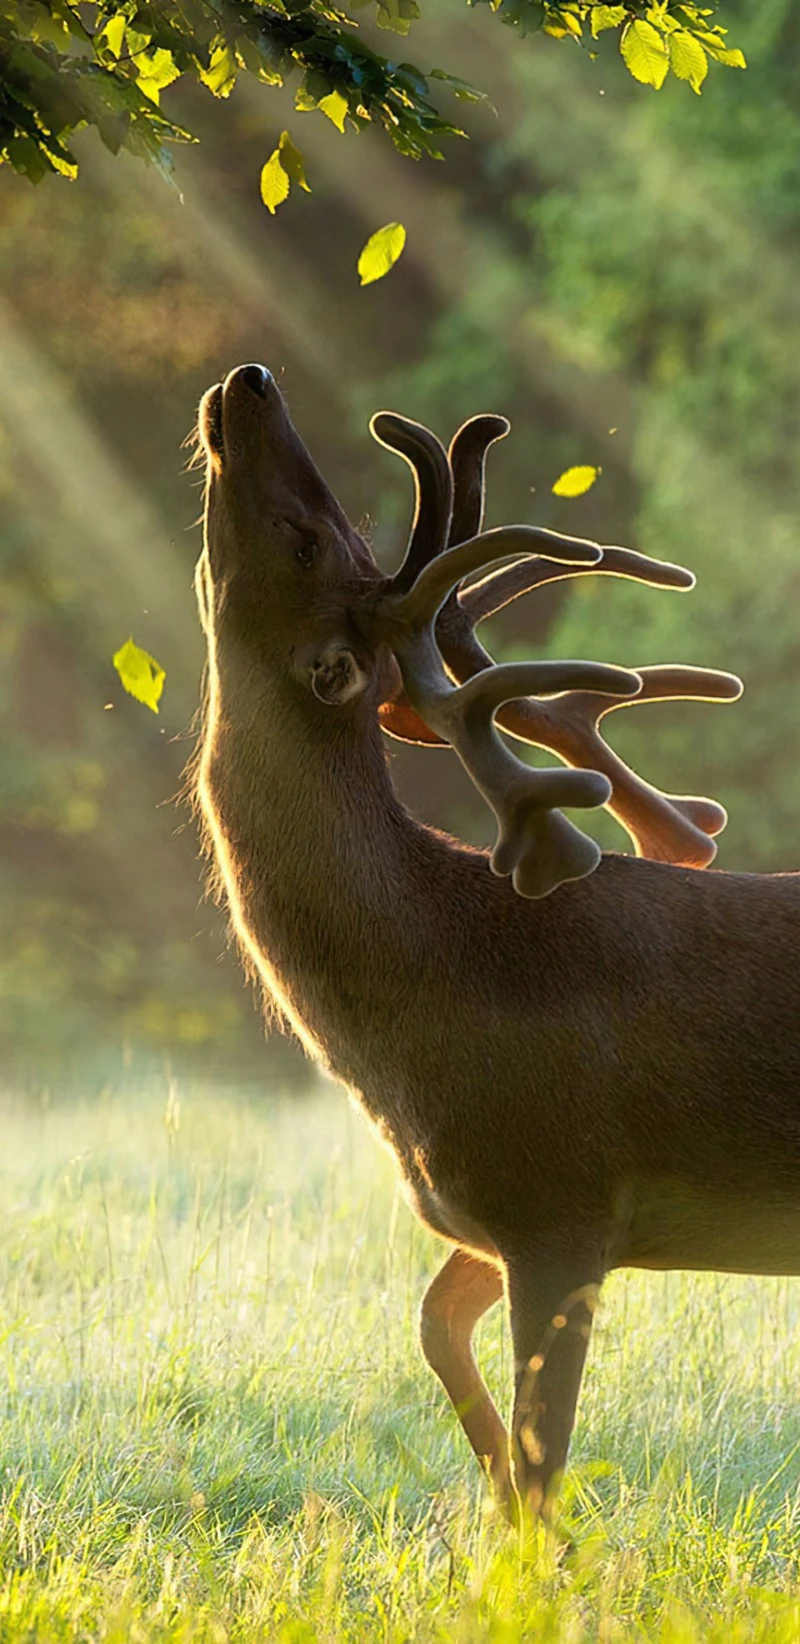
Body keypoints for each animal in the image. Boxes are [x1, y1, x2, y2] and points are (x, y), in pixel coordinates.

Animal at [191, 361, 800, 1529]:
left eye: (306, 537)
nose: (250, 381)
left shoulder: (559, 1196)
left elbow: (541, 1453)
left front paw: (534, 1545)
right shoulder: (491, 1212)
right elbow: (437, 1335)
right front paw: (498, 1515)